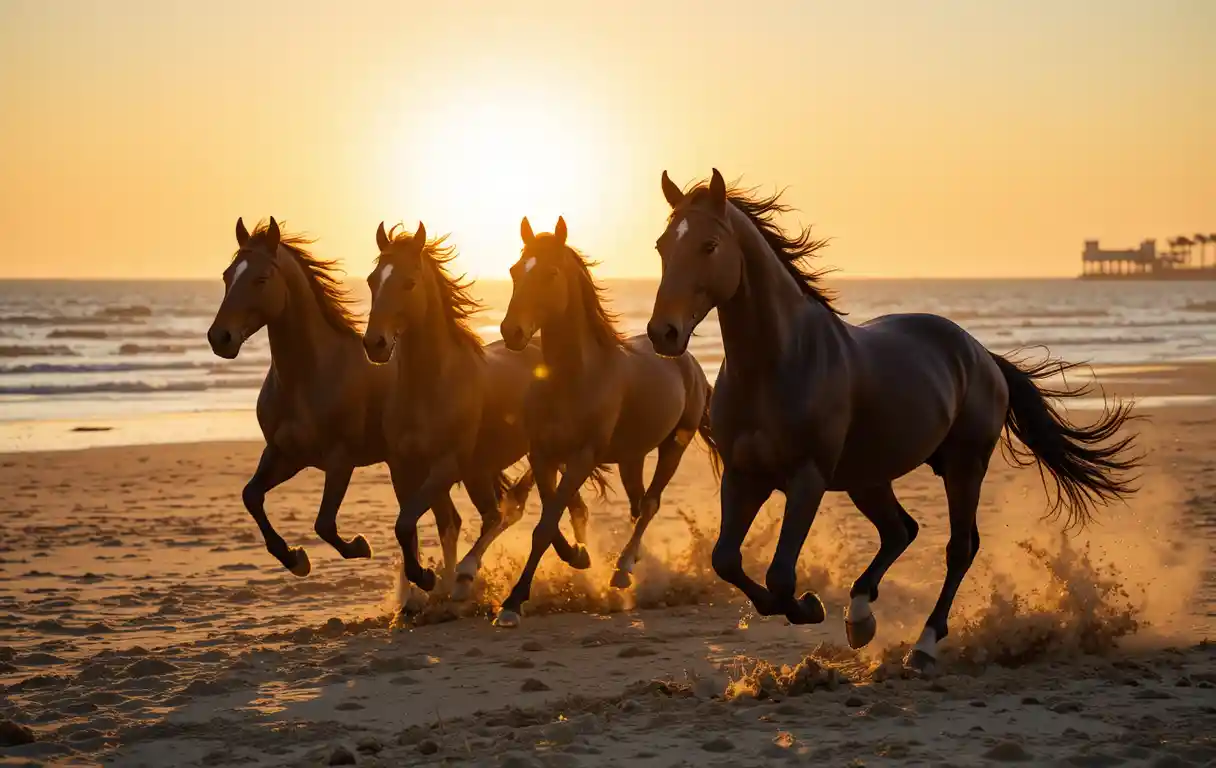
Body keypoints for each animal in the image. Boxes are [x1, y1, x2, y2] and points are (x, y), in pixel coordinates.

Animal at [207, 217, 483, 581]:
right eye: (227, 276)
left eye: (261, 279)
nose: (219, 338)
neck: (310, 377)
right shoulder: (285, 454)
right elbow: (251, 496)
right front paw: (294, 558)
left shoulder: (340, 460)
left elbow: (324, 523)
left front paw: (359, 546)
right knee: (444, 519)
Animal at [362, 221, 593, 602]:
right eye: (371, 280)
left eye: (409, 282)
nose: (374, 344)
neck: (432, 386)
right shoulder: (402, 467)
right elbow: (419, 526)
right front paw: (428, 585)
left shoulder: (447, 465)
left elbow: (408, 523)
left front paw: (432, 579)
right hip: (486, 470)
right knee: (505, 512)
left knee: (532, 510)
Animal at [494, 216, 722, 628]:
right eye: (515, 270)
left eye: (551, 273)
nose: (511, 332)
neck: (573, 378)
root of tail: (690, 361)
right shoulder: (542, 455)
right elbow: (554, 518)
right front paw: (578, 556)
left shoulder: (583, 458)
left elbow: (547, 523)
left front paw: (513, 603)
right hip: (632, 457)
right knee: (637, 504)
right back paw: (630, 563)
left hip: (674, 446)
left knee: (650, 504)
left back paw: (624, 570)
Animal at [646, 170, 1141, 673]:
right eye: (662, 245)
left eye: (709, 245)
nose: (663, 333)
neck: (777, 364)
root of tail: (982, 354)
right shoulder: (743, 475)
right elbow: (725, 560)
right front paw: (817, 609)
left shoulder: (807, 478)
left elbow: (781, 575)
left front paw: (810, 605)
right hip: (869, 478)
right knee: (901, 530)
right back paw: (860, 617)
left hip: (963, 467)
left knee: (958, 547)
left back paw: (923, 645)